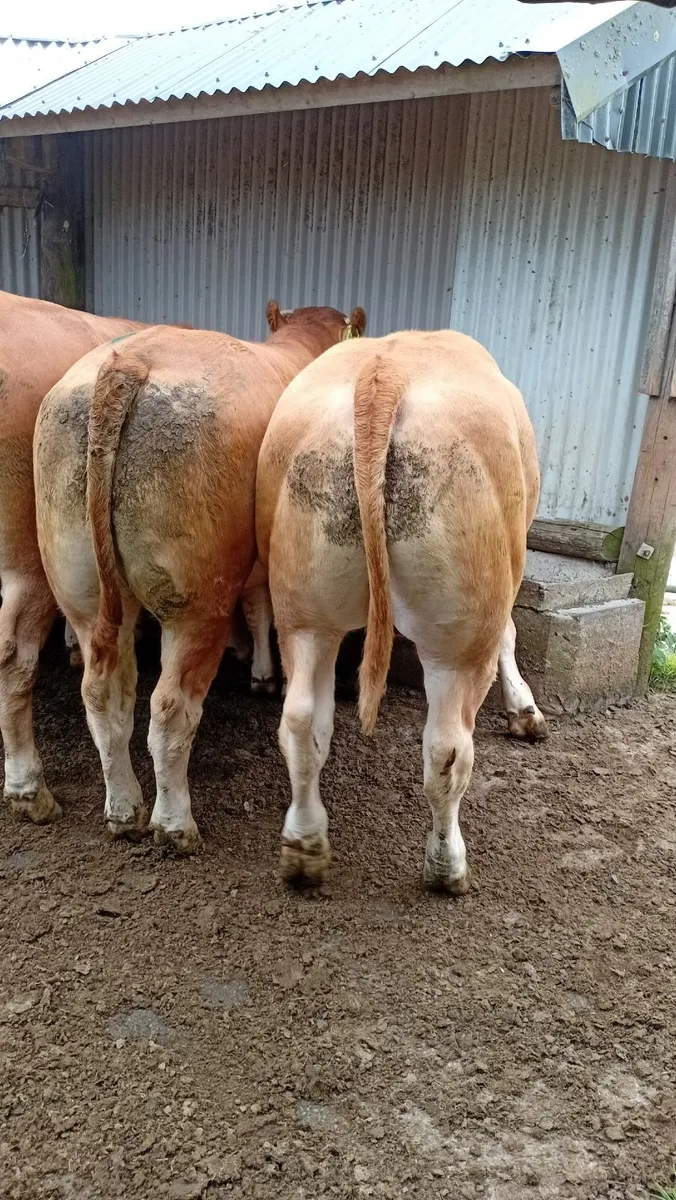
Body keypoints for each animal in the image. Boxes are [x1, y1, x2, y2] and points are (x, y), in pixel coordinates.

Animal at [34, 302, 366, 850]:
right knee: (170, 709)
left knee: (103, 697)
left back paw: (123, 810)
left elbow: (256, 607)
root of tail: (128, 363)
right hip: (196, 600)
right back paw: (173, 824)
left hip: (83, 588)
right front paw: (264, 674)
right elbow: (261, 609)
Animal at [256, 329, 547, 893]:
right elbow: (510, 633)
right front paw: (525, 711)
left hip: (305, 604)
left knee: (300, 722)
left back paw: (304, 849)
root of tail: (383, 372)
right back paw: (446, 867)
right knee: (447, 751)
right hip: (460, 631)